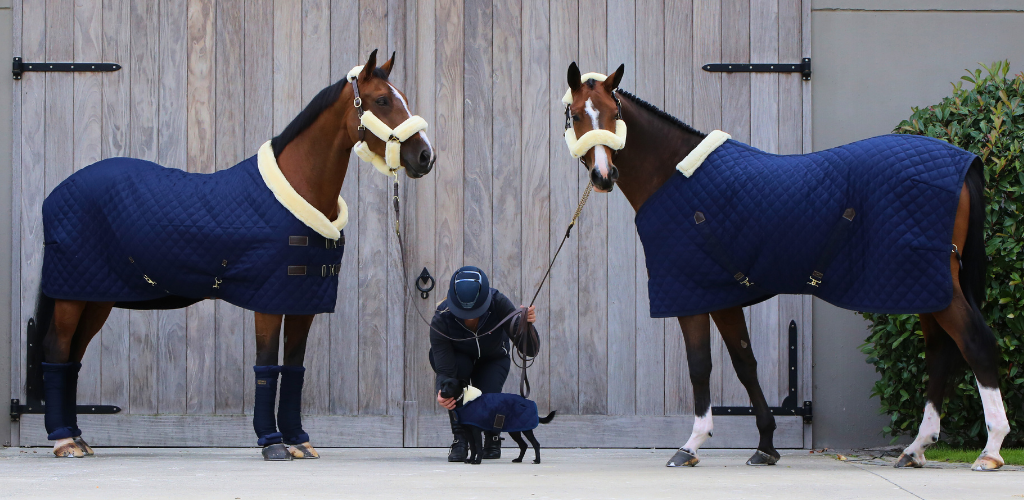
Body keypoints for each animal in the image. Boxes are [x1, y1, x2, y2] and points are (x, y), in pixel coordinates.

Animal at [33, 49, 434, 460]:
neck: (296, 191)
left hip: (96, 295)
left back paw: (78, 437)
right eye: (382, 100)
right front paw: (272, 442)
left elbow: (294, 369)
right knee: (57, 349)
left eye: (402, 97)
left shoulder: (303, 301)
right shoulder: (268, 301)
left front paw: (298, 439)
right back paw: (64, 440)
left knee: (73, 357)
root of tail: (58, 193)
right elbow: (266, 366)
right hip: (72, 294)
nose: (424, 156)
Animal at [561, 62, 1009, 471]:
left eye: (614, 113)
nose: (603, 175)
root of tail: (965, 161)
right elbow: (745, 364)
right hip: (924, 286)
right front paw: (765, 446)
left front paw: (691, 445)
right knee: (940, 353)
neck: (674, 174)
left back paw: (989, 451)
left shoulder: (690, 295)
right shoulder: (722, 295)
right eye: (579, 114)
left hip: (932, 284)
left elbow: (700, 366)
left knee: (976, 344)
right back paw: (916, 449)